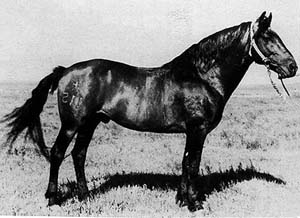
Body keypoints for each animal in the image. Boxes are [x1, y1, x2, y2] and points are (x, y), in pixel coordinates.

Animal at [1, 12, 298, 211]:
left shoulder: (192, 132)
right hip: (72, 123)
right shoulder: (198, 129)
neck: (201, 76)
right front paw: (194, 203)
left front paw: (182, 200)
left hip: (90, 123)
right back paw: (53, 199)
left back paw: (86, 196)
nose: (292, 67)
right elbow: (193, 163)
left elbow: (185, 162)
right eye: (267, 38)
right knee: (57, 153)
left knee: (78, 155)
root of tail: (65, 71)